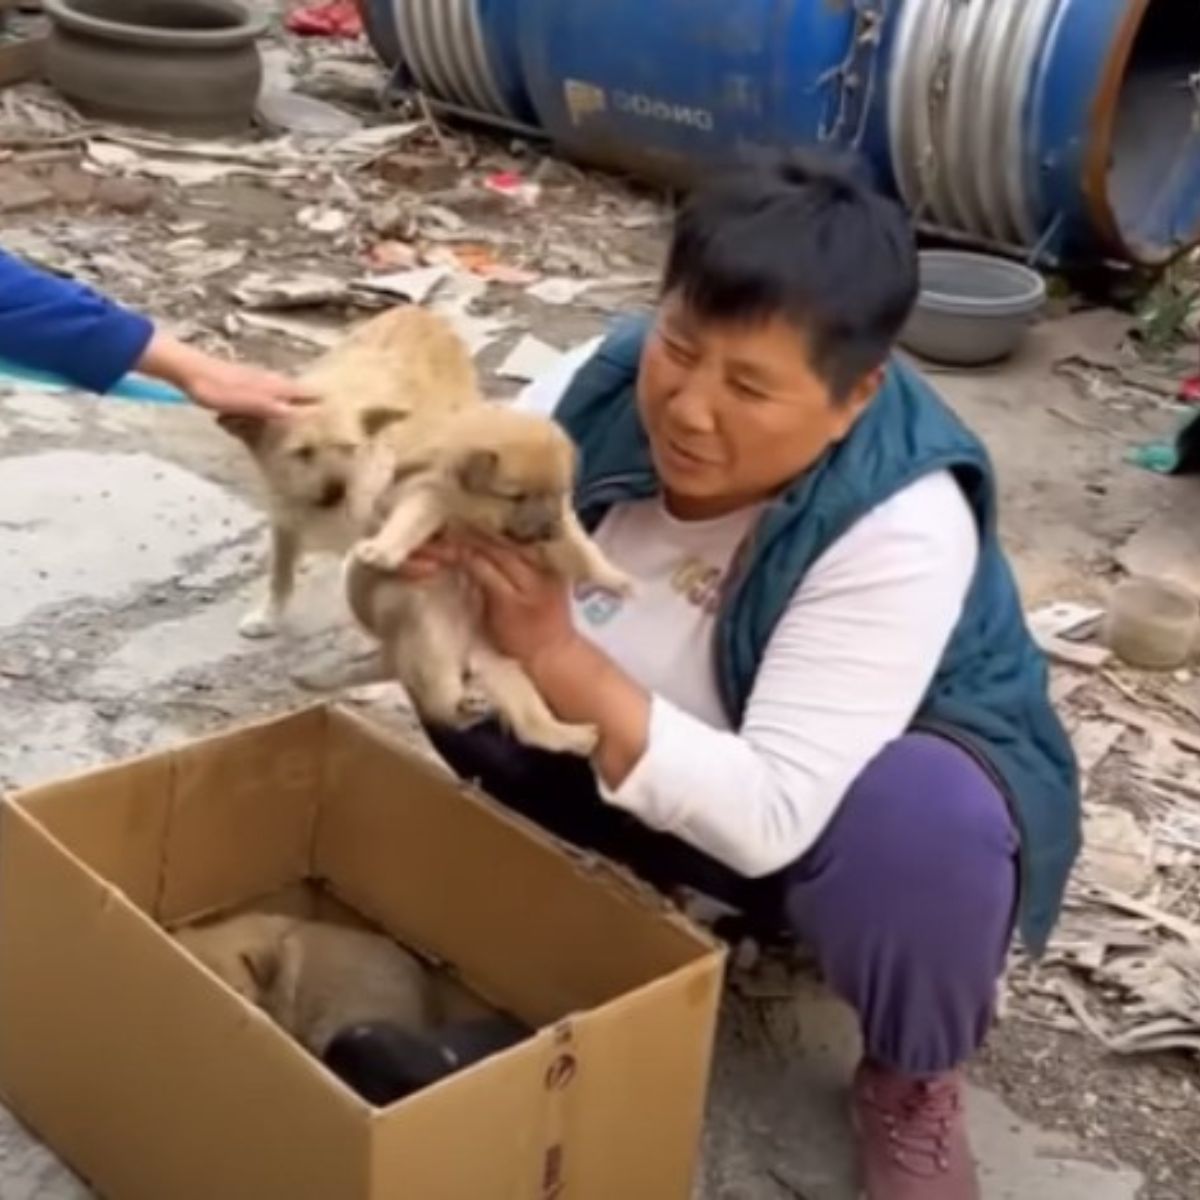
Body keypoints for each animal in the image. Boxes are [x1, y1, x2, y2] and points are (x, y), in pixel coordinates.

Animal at [218, 304, 480, 643]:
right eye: (302, 452)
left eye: (348, 448)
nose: (338, 493)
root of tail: (419, 310)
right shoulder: (284, 520)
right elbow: (280, 576)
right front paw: (268, 616)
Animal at [343, 408, 633, 753]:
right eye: (516, 496)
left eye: (559, 492)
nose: (550, 530)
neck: (474, 516)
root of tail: (467, 653)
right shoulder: (428, 494)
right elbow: (409, 521)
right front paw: (383, 549)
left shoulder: (563, 524)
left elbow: (583, 551)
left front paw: (615, 578)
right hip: (431, 640)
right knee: (440, 705)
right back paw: (464, 706)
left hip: (506, 672)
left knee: (530, 724)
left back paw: (574, 735)